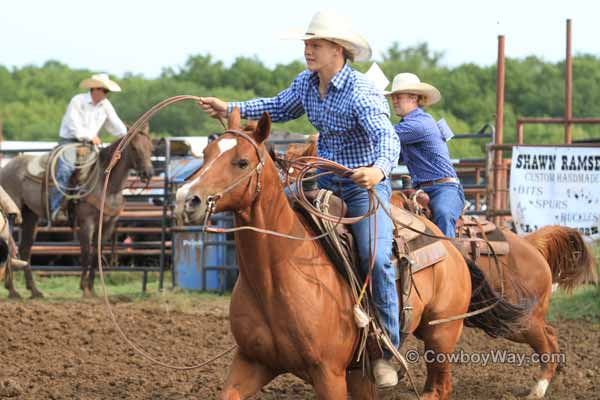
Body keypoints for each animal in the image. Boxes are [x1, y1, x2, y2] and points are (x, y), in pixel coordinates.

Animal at [0, 126, 155, 298]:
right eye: (134, 148)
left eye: (151, 148)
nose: (148, 173)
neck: (106, 183)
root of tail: (6, 167)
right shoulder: (86, 222)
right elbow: (86, 253)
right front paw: (84, 288)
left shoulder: (108, 224)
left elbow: (97, 253)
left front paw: (92, 289)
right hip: (13, 212)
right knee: (10, 245)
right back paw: (13, 290)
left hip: (30, 216)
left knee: (24, 250)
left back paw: (34, 290)